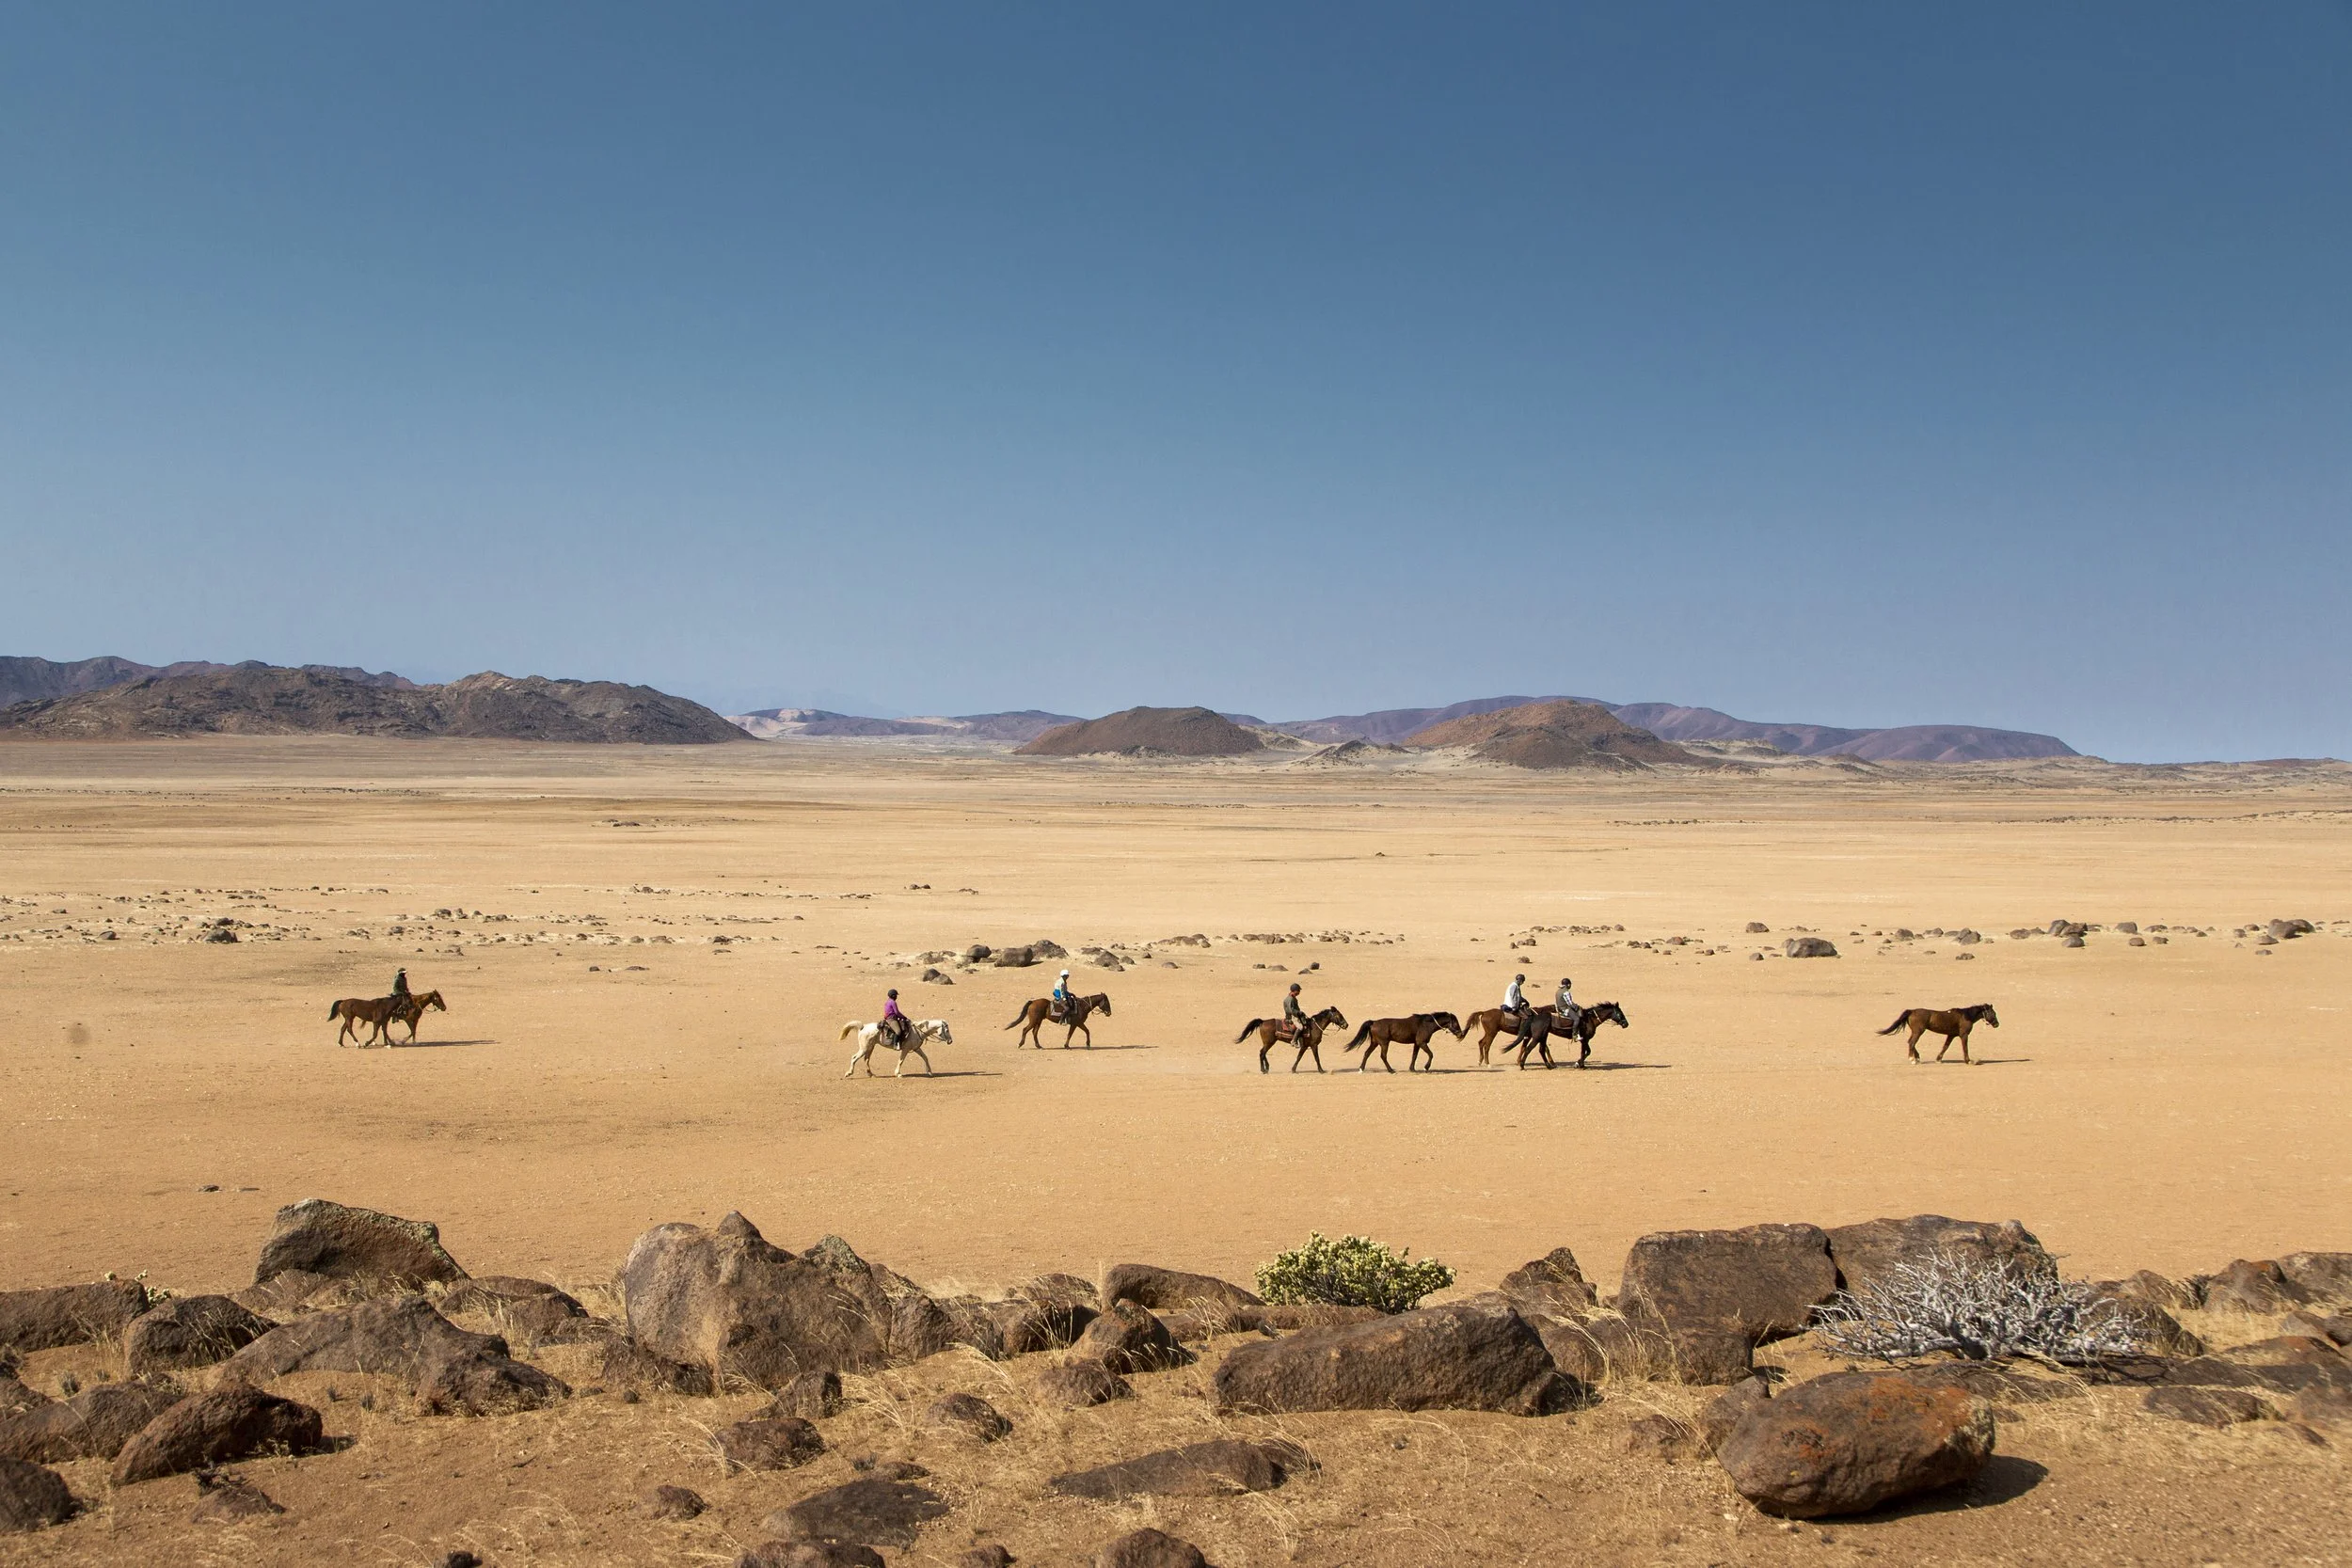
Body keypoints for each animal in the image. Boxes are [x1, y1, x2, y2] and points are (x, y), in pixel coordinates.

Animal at [1342, 1012, 1466, 1073]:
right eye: (1455, 1023)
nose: (1461, 1034)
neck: (1426, 1024)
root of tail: (1373, 1022)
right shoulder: (1422, 1042)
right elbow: (1431, 1054)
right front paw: (1426, 1068)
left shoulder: (1417, 1044)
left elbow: (1414, 1056)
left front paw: (1412, 1069)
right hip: (1384, 1043)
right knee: (1383, 1056)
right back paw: (1391, 1070)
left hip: (1375, 1042)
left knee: (1367, 1053)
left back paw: (1361, 1069)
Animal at [1506, 1000, 1629, 1069]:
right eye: (1620, 1013)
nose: (1626, 1024)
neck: (1590, 1019)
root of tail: (1534, 1015)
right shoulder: (1585, 1039)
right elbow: (1587, 1052)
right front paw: (1578, 1064)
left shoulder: (1584, 1040)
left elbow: (1585, 1052)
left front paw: (1581, 1065)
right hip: (1537, 1036)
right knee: (1529, 1049)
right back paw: (1522, 1066)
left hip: (1543, 1036)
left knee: (1541, 1050)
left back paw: (1549, 1066)